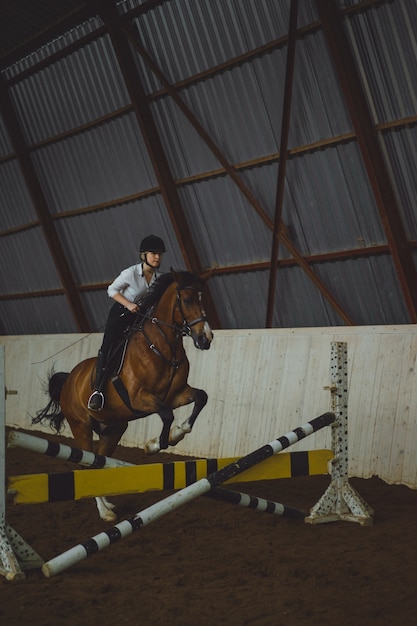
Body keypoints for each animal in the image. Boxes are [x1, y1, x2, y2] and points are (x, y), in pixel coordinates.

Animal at [34, 270, 213, 520]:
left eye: (202, 299)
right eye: (187, 300)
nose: (206, 338)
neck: (161, 346)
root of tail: (70, 378)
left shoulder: (176, 394)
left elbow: (201, 398)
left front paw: (176, 435)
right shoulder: (140, 398)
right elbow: (167, 415)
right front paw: (154, 445)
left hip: (114, 428)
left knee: (99, 461)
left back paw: (108, 506)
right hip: (81, 427)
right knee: (88, 463)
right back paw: (104, 512)